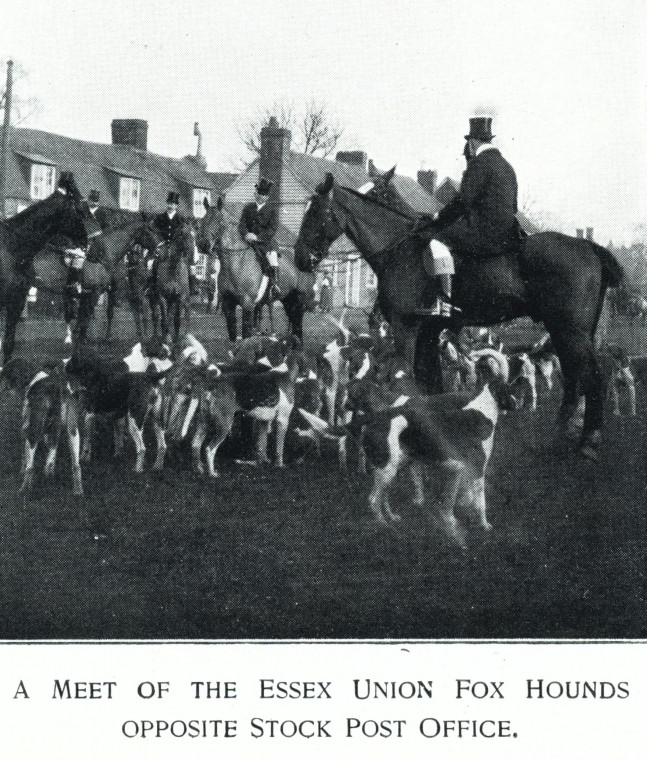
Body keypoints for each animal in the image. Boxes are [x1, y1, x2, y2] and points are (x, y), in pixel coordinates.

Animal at [196, 199, 316, 342]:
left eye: (219, 221)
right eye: (203, 219)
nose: (203, 244)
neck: (237, 263)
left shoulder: (247, 304)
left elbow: (246, 333)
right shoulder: (228, 304)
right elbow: (232, 335)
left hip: (299, 302)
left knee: (298, 325)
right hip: (288, 300)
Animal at [296, 174, 624, 460]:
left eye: (316, 212)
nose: (300, 258)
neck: (401, 248)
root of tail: (588, 246)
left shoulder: (406, 327)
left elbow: (406, 376)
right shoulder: (429, 332)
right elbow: (430, 383)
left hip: (569, 331)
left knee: (592, 375)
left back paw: (588, 441)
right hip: (567, 331)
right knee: (575, 376)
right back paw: (562, 433)